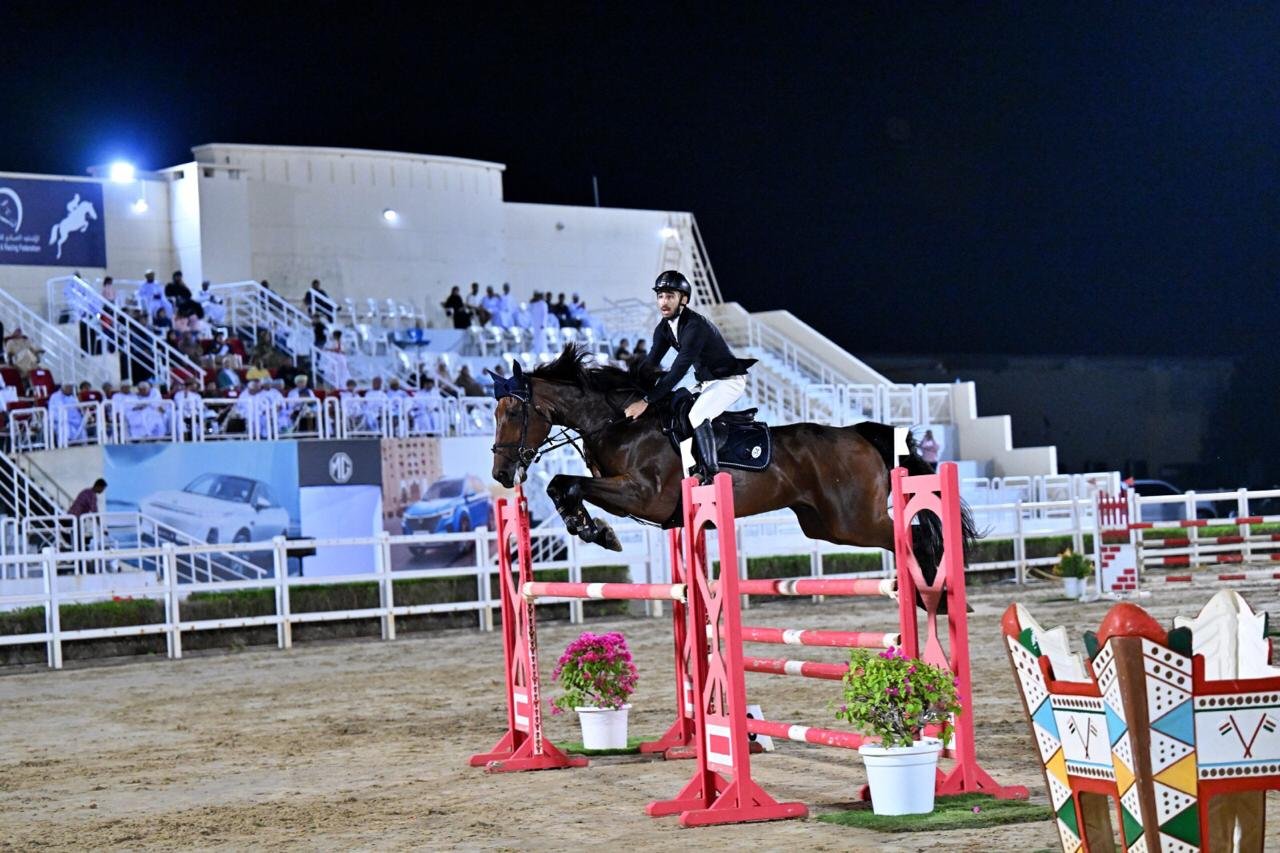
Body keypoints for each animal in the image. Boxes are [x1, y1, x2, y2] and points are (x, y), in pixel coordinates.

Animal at [488, 347, 977, 582]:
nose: (501, 475)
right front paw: (587, 526)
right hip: (827, 526)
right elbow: (561, 486)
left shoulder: (643, 495)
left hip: (853, 519)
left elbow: (568, 483)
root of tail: (857, 433)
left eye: (512, 412)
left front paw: (597, 531)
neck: (621, 423)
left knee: (914, 536)